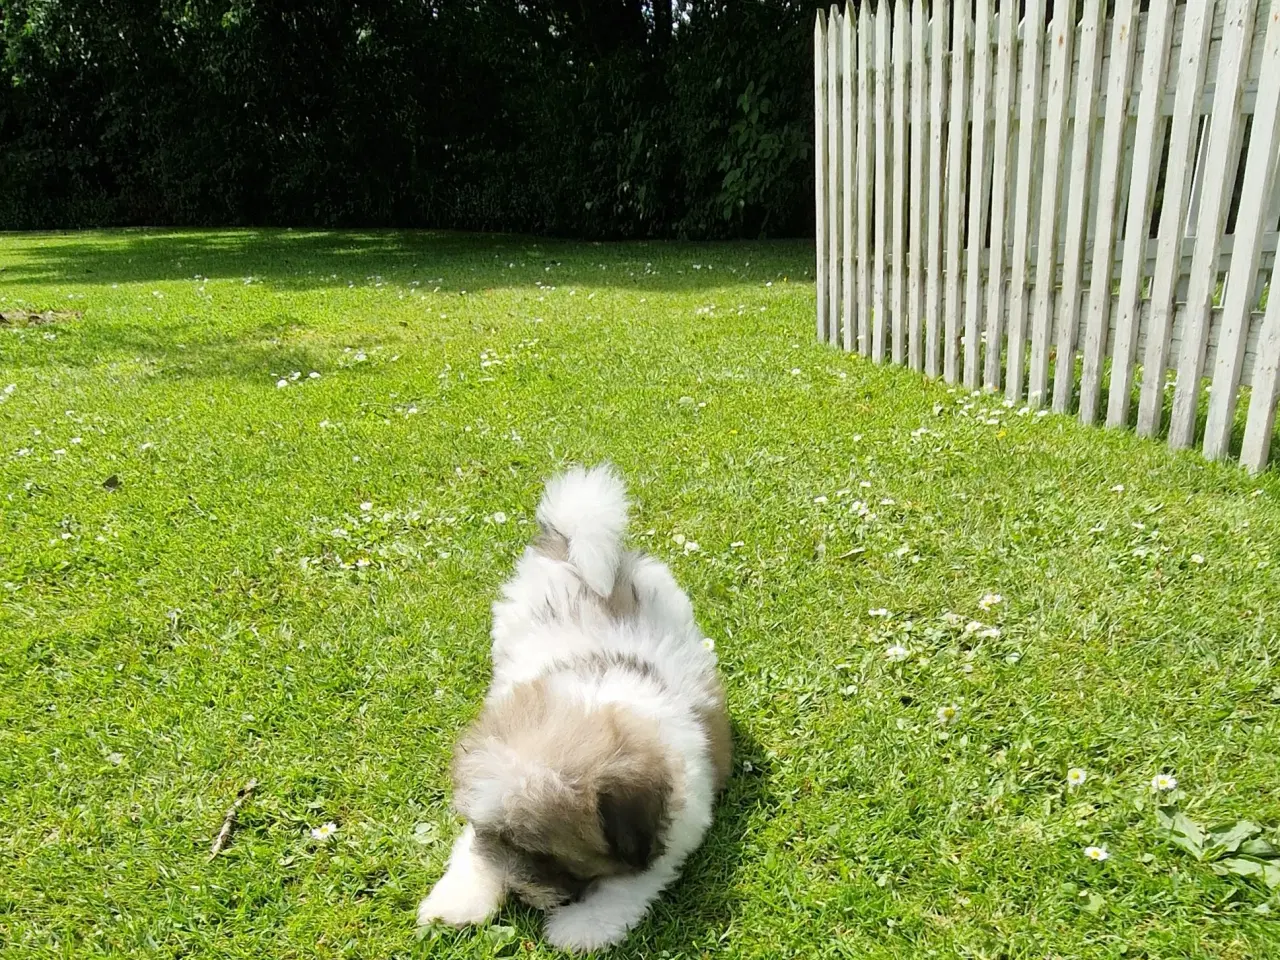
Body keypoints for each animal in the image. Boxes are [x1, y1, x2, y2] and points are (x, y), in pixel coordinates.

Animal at [419, 465, 732, 957]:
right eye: (497, 838)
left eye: (546, 855)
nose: (521, 896)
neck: (593, 704)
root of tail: (574, 548)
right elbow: (471, 848)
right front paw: (460, 900)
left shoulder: (672, 831)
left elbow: (628, 883)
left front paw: (580, 927)